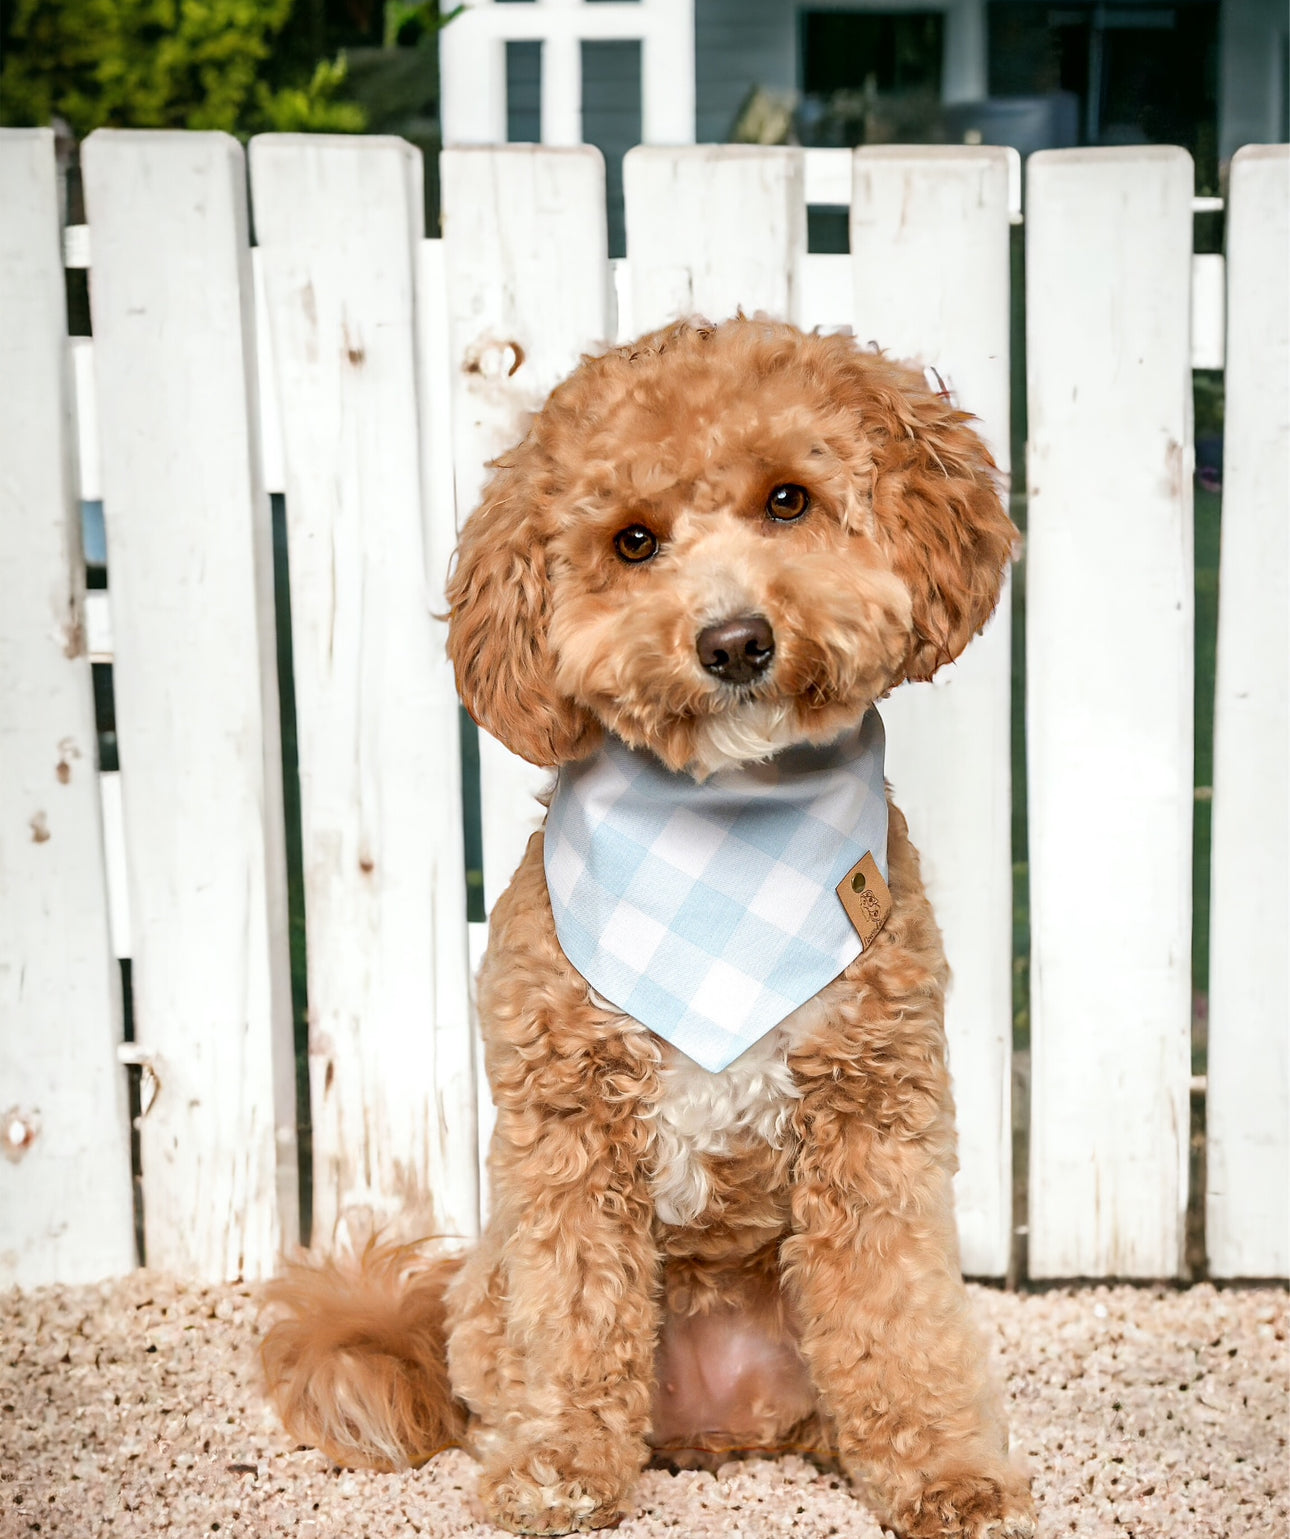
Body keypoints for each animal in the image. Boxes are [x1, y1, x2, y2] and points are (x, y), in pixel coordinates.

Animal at [260, 315, 1040, 1539]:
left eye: (788, 499)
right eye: (633, 542)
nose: (735, 641)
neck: (724, 845)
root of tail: (717, 1426)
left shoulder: (877, 1115)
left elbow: (898, 1311)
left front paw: (944, 1472)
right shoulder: (567, 1131)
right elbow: (574, 1312)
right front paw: (559, 1471)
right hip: (490, 1294)